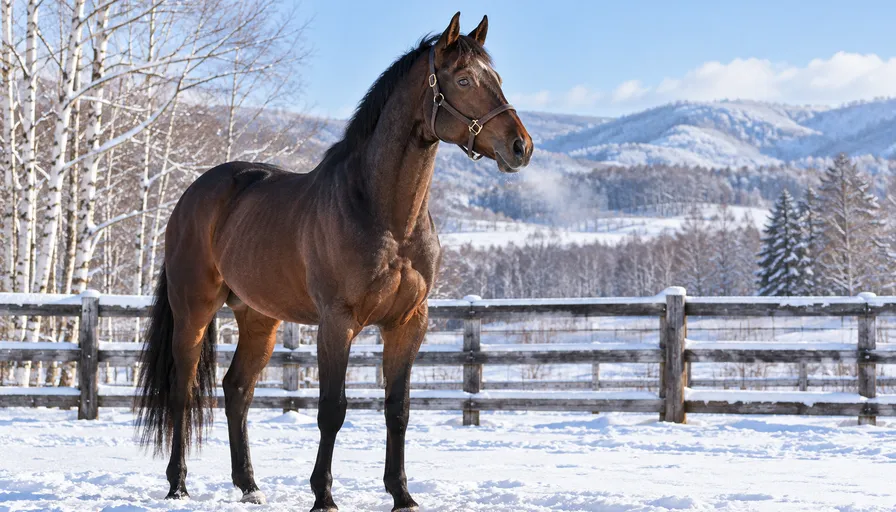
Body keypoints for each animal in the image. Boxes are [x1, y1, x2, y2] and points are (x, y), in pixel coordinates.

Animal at [135, 12, 532, 511]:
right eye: (463, 80)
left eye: (496, 78)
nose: (521, 146)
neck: (385, 215)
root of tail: (193, 194)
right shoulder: (337, 322)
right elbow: (332, 410)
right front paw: (323, 495)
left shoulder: (408, 322)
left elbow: (398, 409)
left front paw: (402, 494)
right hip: (194, 311)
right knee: (183, 390)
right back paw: (178, 484)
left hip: (259, 319)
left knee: (237, 390)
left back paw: (249, 486)